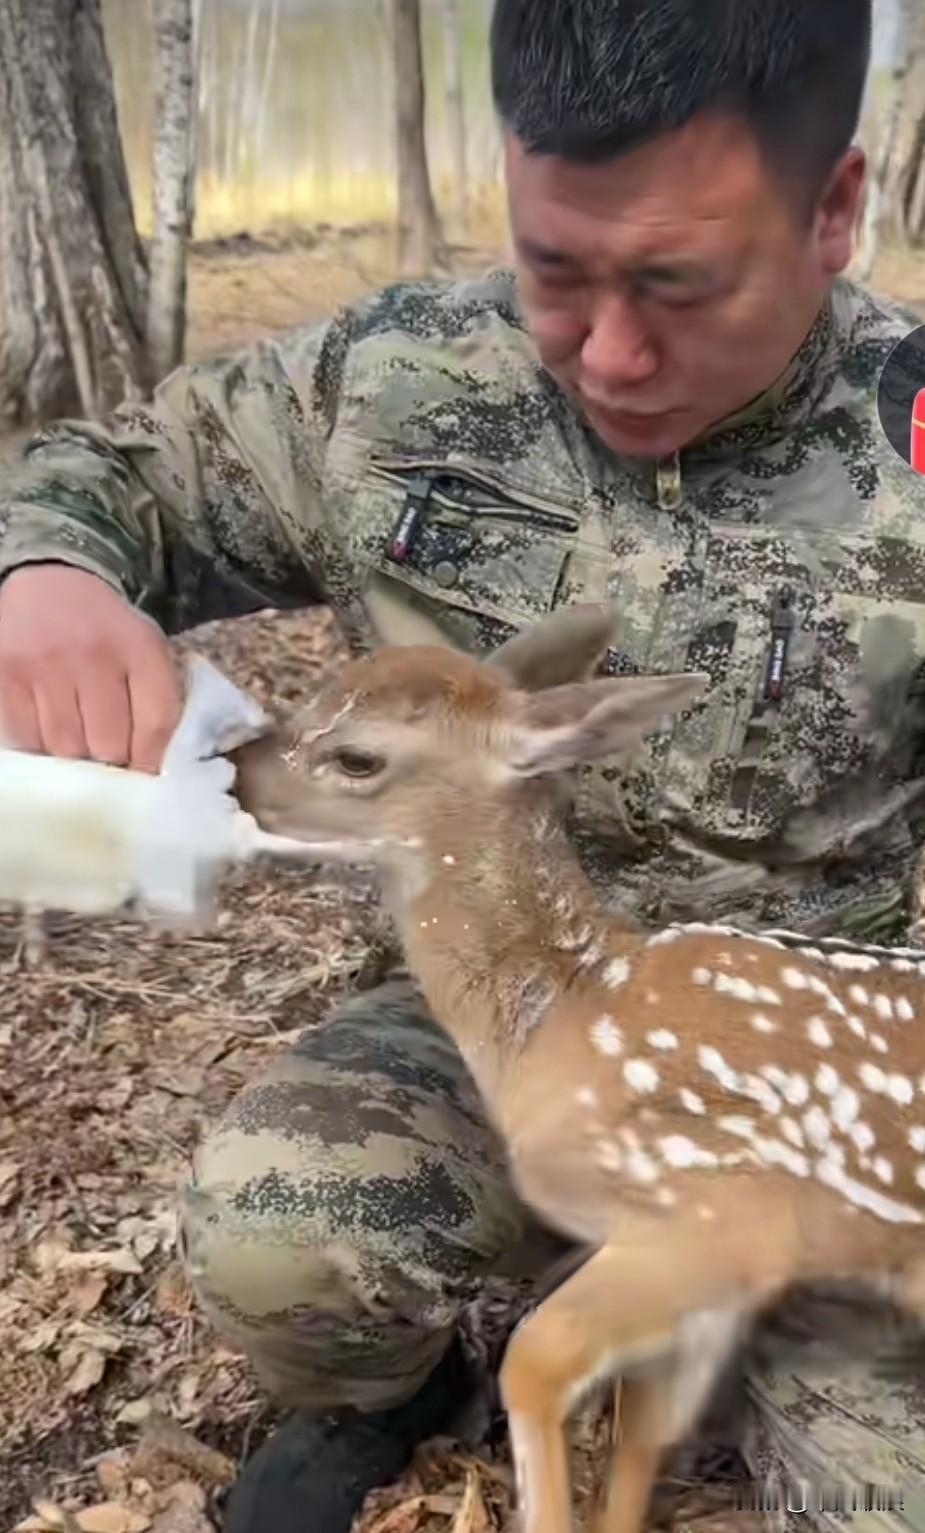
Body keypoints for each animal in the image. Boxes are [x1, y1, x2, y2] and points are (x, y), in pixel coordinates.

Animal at [225, 599, 925, 1533]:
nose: (230, 769)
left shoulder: (725, 1210)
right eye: (318, 690)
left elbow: (536, 1357)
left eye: (356, 756)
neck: (571, 1011)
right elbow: (642, 1427)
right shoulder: (714, 1283)